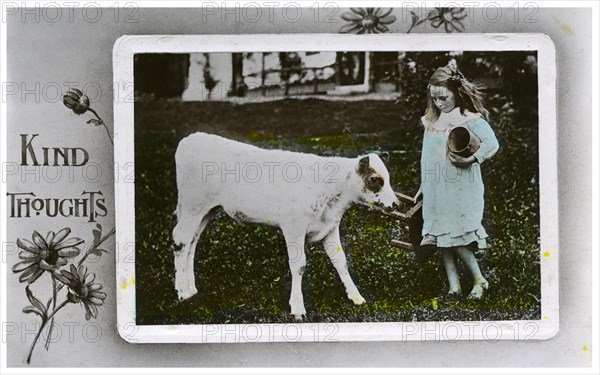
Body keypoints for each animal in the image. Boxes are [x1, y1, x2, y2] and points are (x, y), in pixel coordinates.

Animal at [172, 132, 398, 320]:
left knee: (192, 242)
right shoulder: (293, 227)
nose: (396, 203)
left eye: (388, 178)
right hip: (194, 205)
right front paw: (297, 308)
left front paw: (356, 297)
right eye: (375, 179)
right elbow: (299, 265)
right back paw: (183, 292)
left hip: (207, 210)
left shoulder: (330, 227)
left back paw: (191, 288)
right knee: (181, 241)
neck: (333, 191)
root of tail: (191, 138)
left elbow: (340, 261)